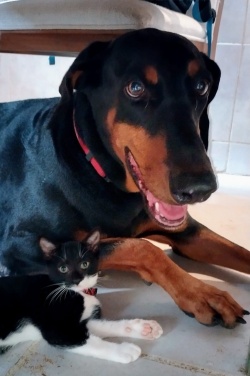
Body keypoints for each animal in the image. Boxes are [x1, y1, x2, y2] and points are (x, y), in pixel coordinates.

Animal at [0, 29, 250, 328]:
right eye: (135, 88)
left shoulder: (186, 231)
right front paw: (202, 294)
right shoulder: (19, 246)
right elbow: (142, 247)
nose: (200, 188)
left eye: (202, 86)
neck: (100, 174)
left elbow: (239, 251)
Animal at [0, 231, 162, 362]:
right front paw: (124, 350)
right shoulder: (59, 328)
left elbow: (107, 325)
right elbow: (90, 342)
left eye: (85, 264)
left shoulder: (81, 321)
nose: (77, 279)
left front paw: (144, 328)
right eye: (63, 268)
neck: (80, 293)